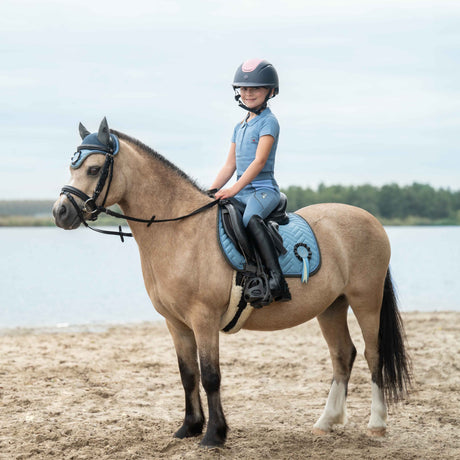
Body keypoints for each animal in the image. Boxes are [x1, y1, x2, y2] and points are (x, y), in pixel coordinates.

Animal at [53, 117, 410, 446]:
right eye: (74, 166)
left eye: (94, 169)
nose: (60, 212)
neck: (178, 230)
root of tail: (370, 219)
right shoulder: (176, 323)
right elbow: (188, 375)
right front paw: (189, 428)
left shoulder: (204, 318)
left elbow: (211, 376)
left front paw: (214, 434)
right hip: (332, 306)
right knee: (342, 355)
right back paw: (326, 422)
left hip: (366, 301)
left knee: (373, 354)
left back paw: (376, 424)